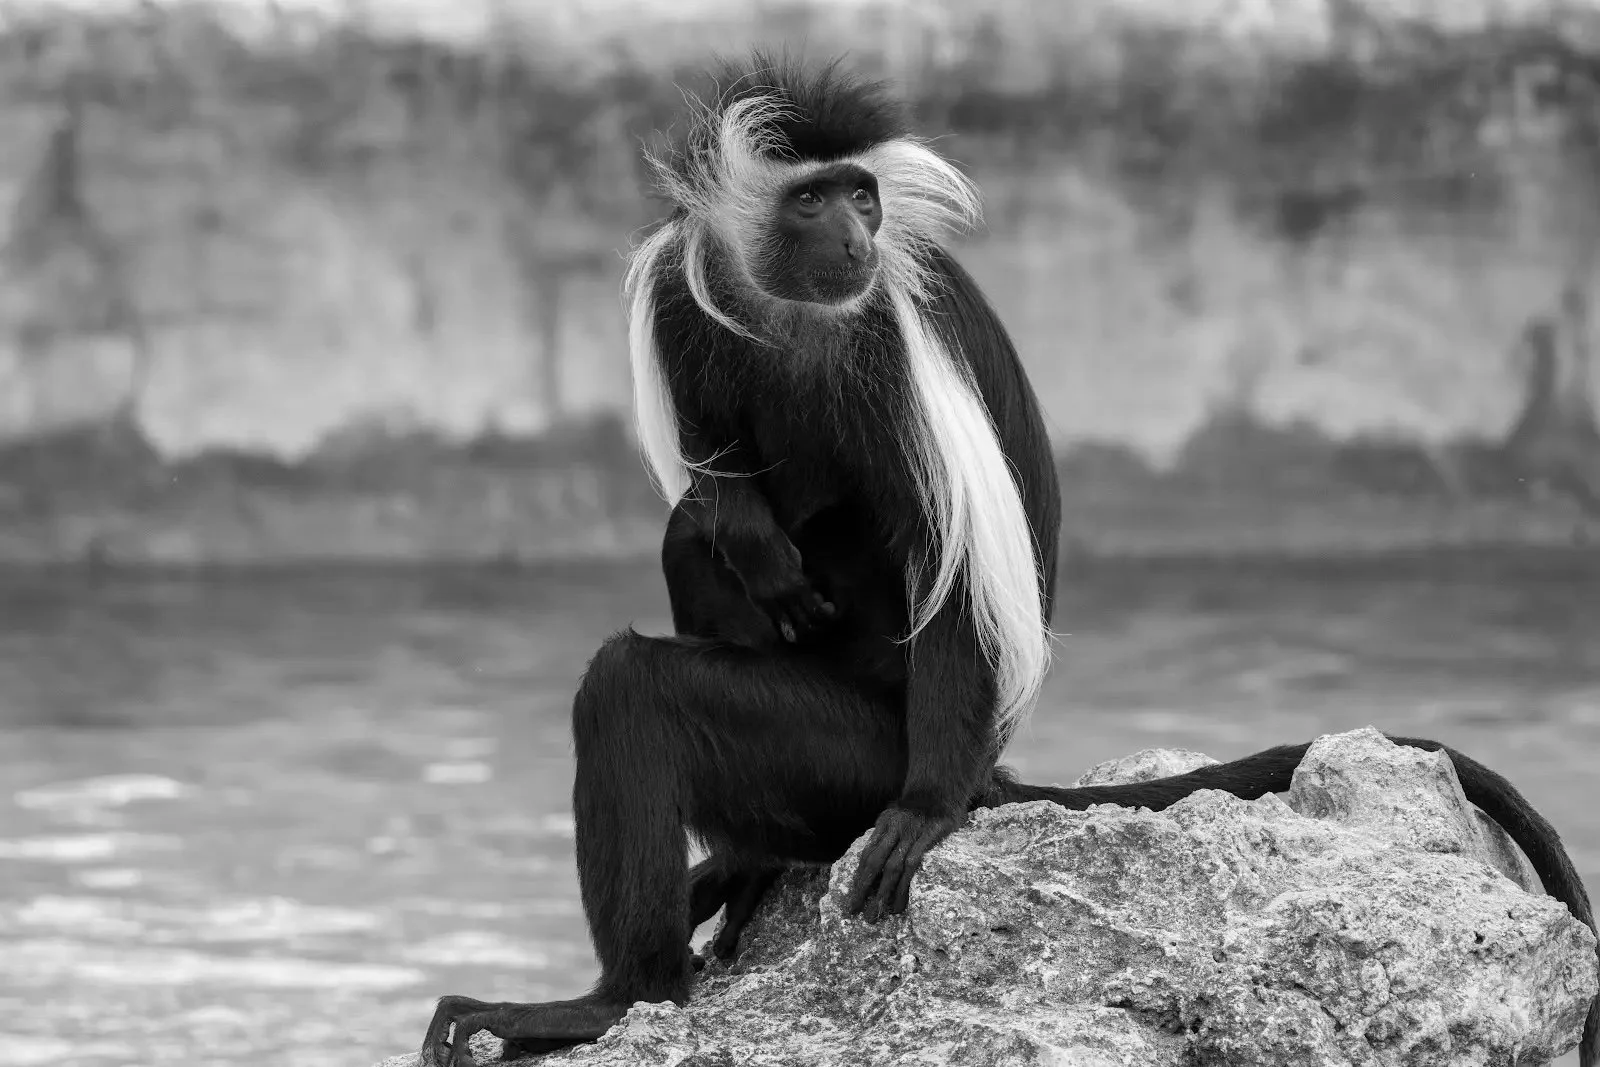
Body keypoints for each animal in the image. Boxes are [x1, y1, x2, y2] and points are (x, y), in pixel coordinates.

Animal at [417, 54, 1597, 1067]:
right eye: (815, 199)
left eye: (860, 197)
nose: (858, 230)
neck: (793, 310)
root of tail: (997, 769)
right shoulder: (684, 291)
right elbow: (723, 488)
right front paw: (750, 527)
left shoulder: (888, 346)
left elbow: (944, 558)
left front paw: (922, 816)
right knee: (694, 537)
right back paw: (741, 863)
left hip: (848, 748)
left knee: (637, 687)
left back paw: (619, 996)